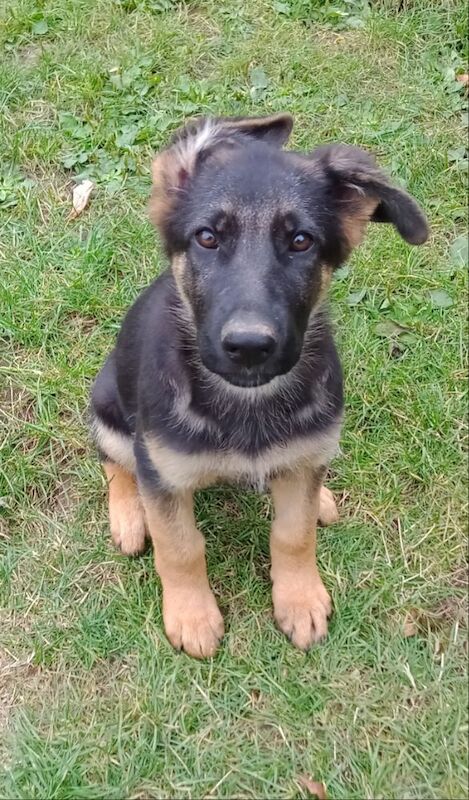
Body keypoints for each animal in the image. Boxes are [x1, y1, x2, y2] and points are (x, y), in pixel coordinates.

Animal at [89, 115, 430, 660]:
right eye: (207, 237)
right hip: (107, 408)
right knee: (115, 465)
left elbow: (293, 533)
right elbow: (180, 546)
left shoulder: (304, 457)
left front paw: (300, 598)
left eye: (302, 241)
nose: (249, 347)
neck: (246, 401)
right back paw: (128, 517)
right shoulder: (162, 471)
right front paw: (191, 614)